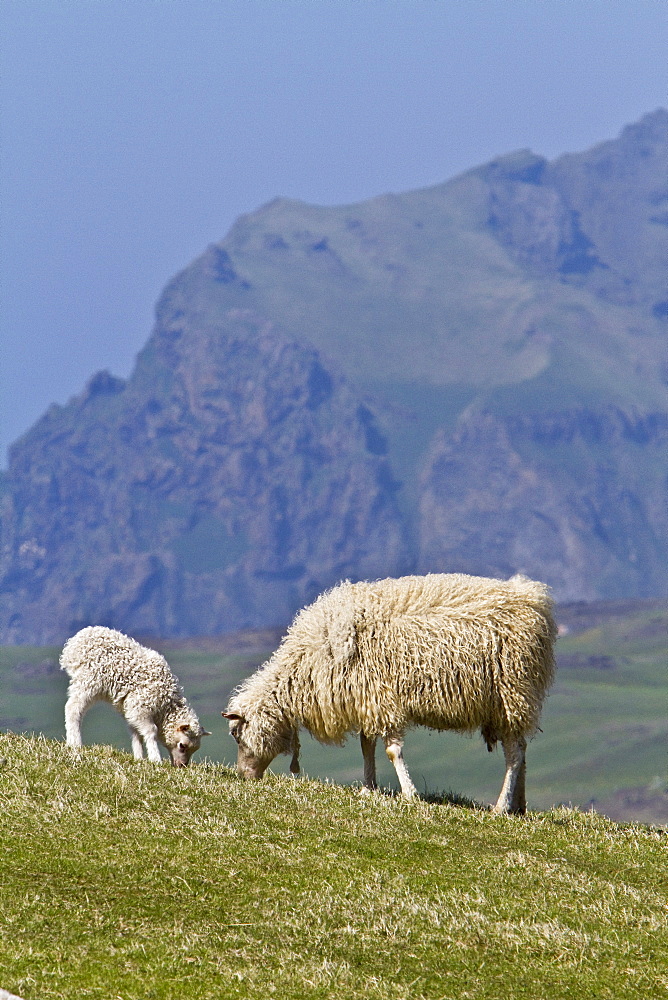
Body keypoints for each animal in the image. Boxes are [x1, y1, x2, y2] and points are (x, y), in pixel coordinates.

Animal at [62, 624, 210, 764]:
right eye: (182, 745)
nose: (181, 766)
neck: (165, 706)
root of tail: (74, 643)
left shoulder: (131, 710)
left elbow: (135, 732)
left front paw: (139, 757)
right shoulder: (141, 707)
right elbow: (151, 731)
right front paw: (155, 758)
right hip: (89, 681)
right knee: (73, 708)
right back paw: (75, 744)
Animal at [222, 572, 556, 812]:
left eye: (237, 734)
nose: (244, 777)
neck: (308, 660)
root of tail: (535, 599)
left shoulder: (380, 697)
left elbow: (391, 750)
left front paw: (409, 794)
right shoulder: (366, 698)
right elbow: (366, 746)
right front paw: (368, 788)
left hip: (514, 691)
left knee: (514, 753)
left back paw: (501, 806)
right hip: (507, 702)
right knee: (520, 750)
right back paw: (518, 806)